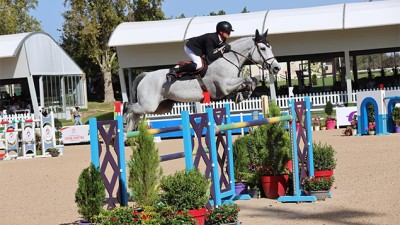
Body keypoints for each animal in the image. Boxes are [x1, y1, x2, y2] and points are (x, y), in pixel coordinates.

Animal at [123, 29, 280, 132]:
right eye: (262, 48)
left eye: (270, 47)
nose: (276, 68)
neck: (228, 60)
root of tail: (146, 76)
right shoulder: (224, 86)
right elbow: (247, 78)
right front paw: (244, 93)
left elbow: (252, 80)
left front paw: (243, 94)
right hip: (149, 105)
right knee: (131, 108)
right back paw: (123, 117)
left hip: (161, 107)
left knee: (136, 114)